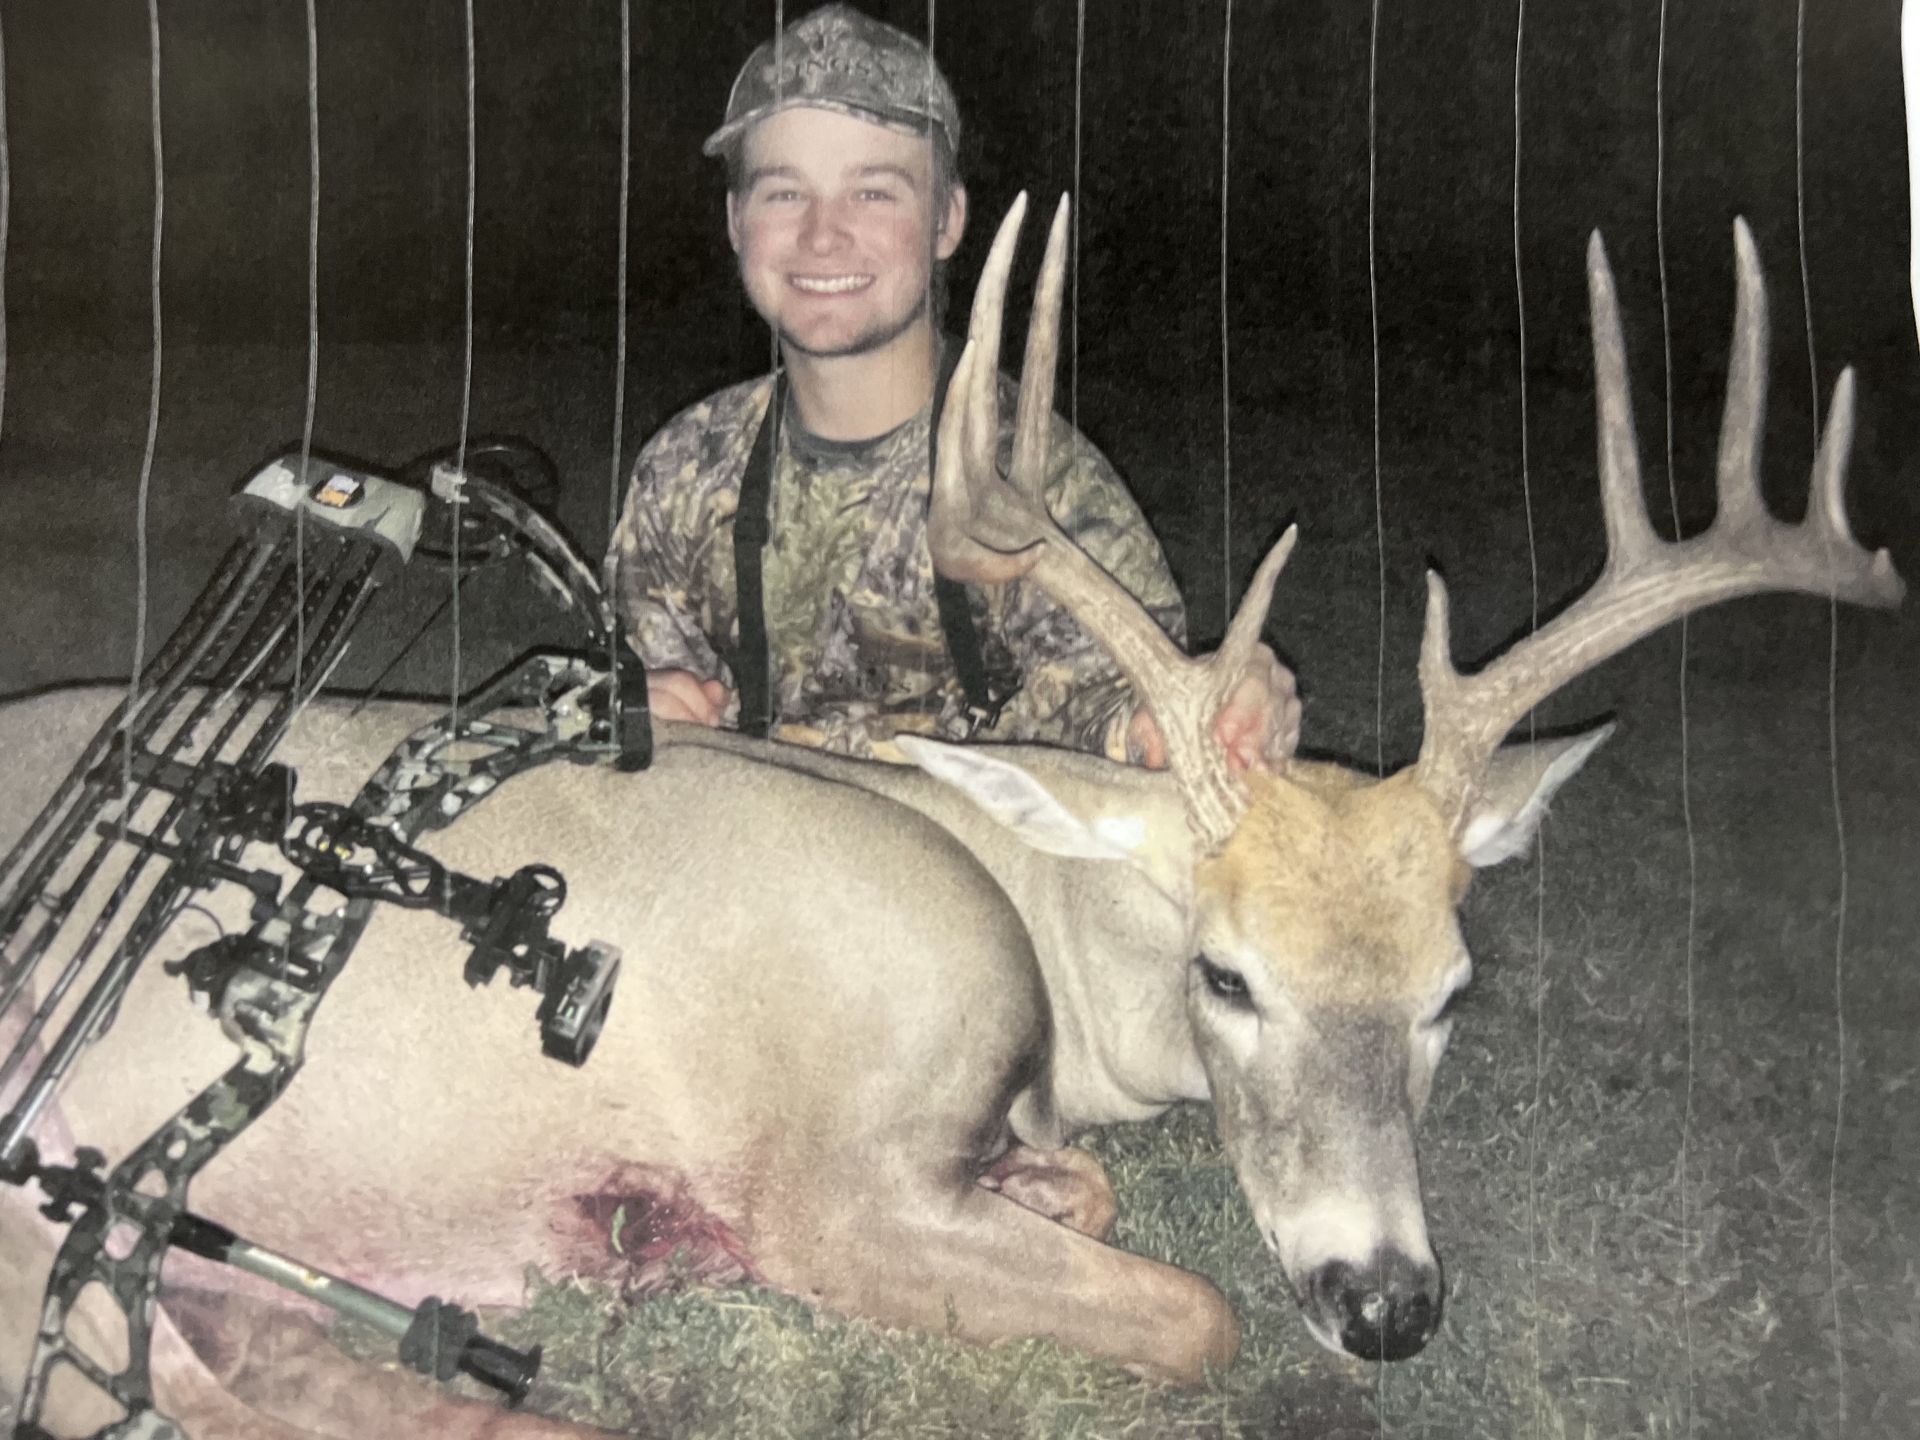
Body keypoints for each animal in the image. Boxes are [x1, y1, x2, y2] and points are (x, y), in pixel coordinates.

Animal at [0, 191, 1903, 1439]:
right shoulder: (825, 1180)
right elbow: (1195, 1312)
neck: (1029, 938)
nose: (1387, 1304)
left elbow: (1101, 1200)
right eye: (1228, 977)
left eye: (1453, 991)